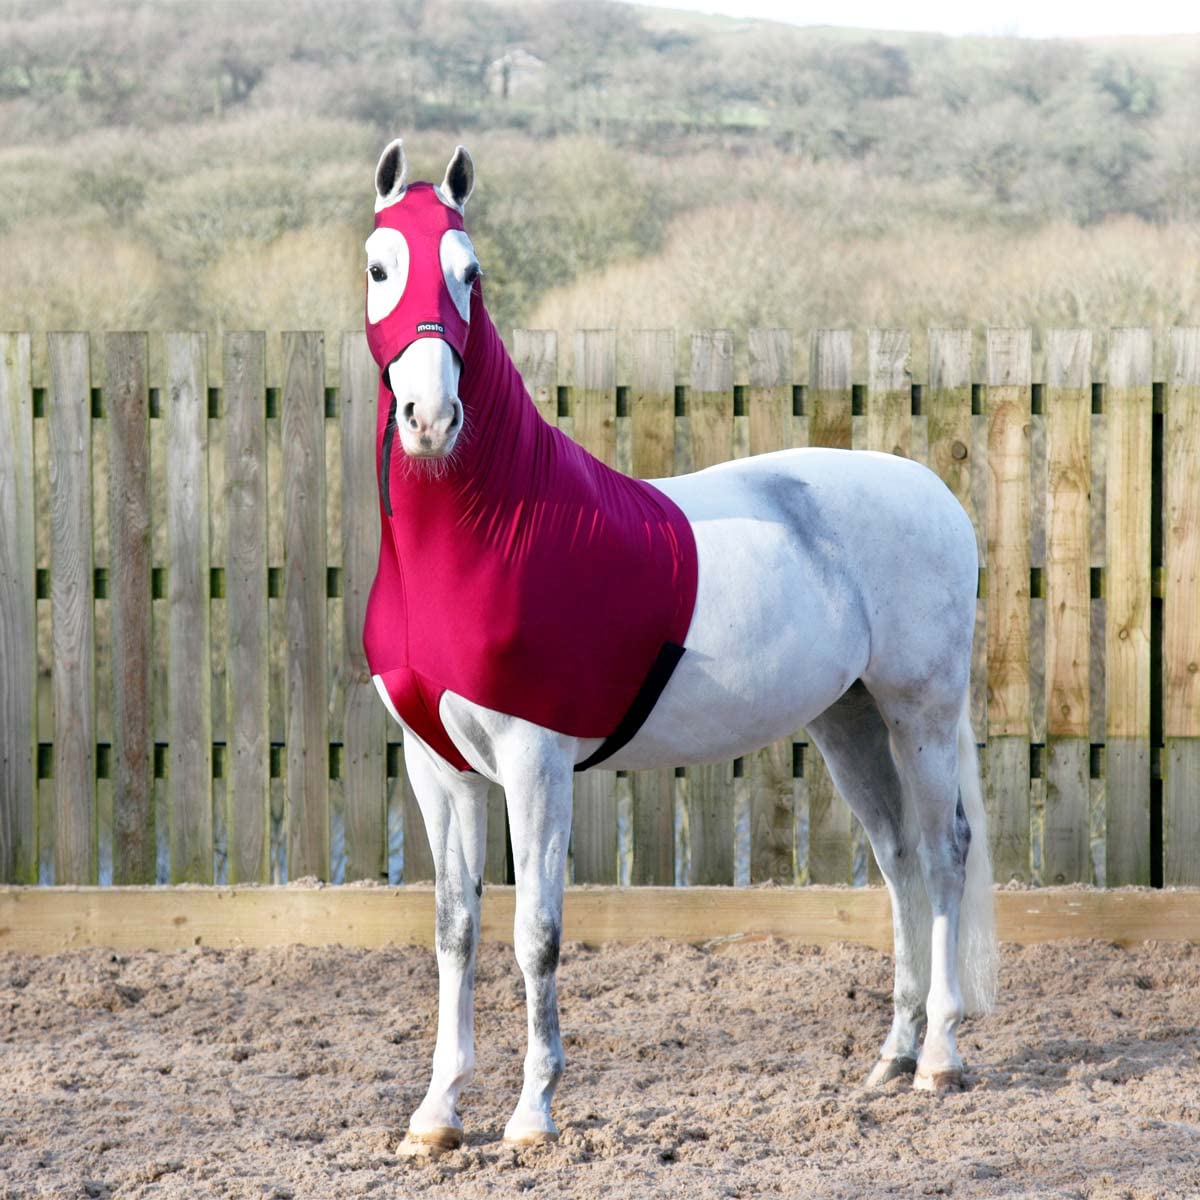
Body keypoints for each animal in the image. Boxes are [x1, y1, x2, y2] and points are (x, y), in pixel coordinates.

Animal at [360, 137, 997, 1155]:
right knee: (898, 856)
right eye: (381, 268)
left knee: (943, 853)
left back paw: (938, 1059)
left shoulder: (535, 763)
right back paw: (892, 1060)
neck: (491, 532)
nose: (429, 417)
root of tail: (935, 493)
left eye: (471, 273)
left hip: (920, 715)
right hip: (848, 721)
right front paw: (436, 1116)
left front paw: (532, 1114)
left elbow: (535, 933)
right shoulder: (438, 769)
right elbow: (455, 928)